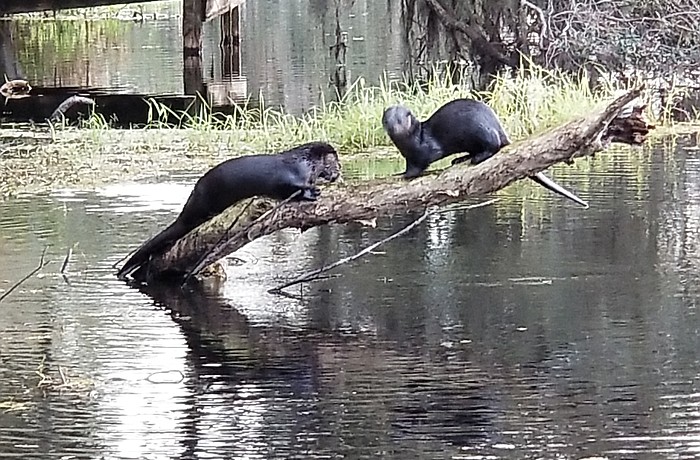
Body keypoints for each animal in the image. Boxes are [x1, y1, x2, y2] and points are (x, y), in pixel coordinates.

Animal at [117, 141, 341, 280]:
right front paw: (312, 192)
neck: (304, 164)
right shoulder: (289, 177)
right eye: (335, 163)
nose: (338, 172)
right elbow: (291, 189)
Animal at [382, 99, 588, 207]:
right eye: (387, 120)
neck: (412, 140)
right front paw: (402, 172)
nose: (393, 127)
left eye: (400, 120)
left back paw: (475, 158)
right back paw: (460, 159)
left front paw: (406, 175)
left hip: (481, 130)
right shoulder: (408, 156)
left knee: (494, 145)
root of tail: (499, 126)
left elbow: (421, 163)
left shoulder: (425, 150)